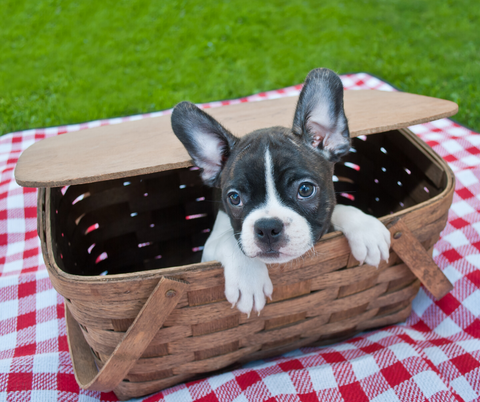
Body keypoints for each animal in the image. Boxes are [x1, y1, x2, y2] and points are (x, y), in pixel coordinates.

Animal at [172, 67, 390, 316]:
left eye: (305, 189)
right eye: (234, 198)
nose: (267, 227)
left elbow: (338, 209)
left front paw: (366, 229)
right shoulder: (206, 251)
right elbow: (229, 240)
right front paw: (248, 279)